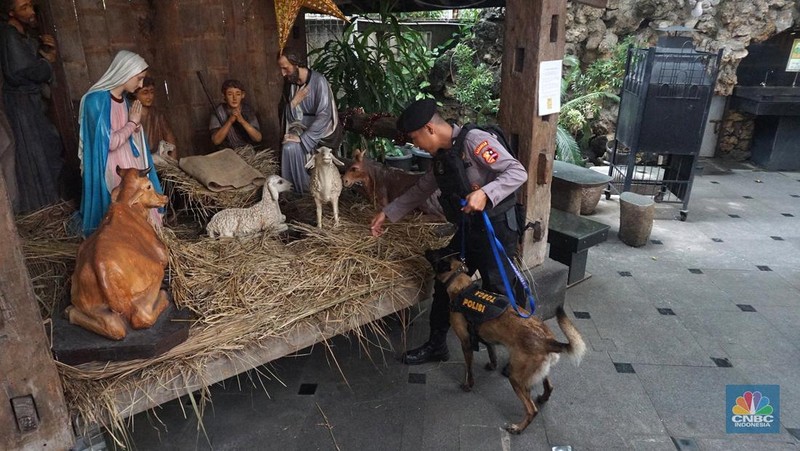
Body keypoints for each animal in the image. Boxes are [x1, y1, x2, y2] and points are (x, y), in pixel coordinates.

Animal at [428, 252, 584, 436]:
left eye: (437, 257)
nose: (426, 252)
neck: (461, 287)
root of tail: (548, 340)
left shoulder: (466, 342)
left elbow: (469, 369)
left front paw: (468, 385)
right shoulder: (486, 337)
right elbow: (491, 351)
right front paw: (492, 365)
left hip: (516, 378)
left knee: (531, 410)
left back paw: (518, 427)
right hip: (537, 372)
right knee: (549, 387)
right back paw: (543, 398)